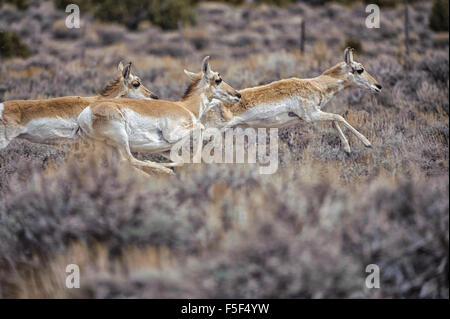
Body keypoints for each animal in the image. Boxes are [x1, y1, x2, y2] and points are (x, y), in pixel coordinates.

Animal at [76, 55, 243, 175]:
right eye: (218, 79)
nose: (238, 95)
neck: (185, 107)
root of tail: (86, 113)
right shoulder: (173, 134)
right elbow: (199, 131)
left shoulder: (167, 148)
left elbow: (182, 159)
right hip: (121, 138)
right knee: (127, 159)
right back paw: (162, 170)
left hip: (107, 147)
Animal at [214, 47, 380, 153]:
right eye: (360, 69)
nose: (378, 86)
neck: (316, 84)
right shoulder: (311, 115)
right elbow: (338, 117)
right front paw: (367, 143)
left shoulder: (315, 114)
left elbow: (334, 120)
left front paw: (347, 149)